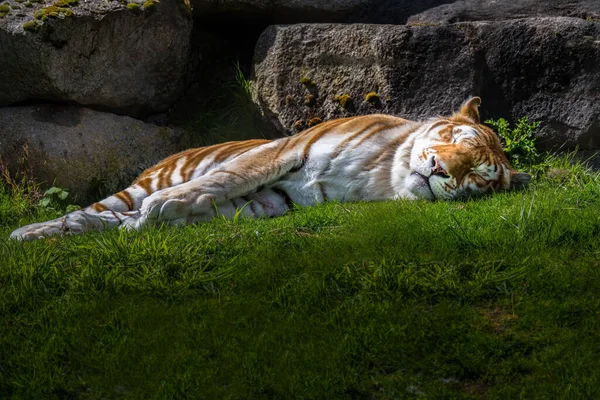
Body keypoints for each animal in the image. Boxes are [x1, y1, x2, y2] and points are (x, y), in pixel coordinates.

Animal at [9, 97, 528, 241]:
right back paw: (28, 233)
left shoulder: (278, 198)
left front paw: (162, 218)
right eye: (453, 141)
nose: (440, 168)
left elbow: (216, 200)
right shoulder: (286, 151)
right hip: (137, 185)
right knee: (88, 212)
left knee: (109, 220)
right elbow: (227, 177)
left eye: (478, 177)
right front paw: (165, 207)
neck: (385, 175)